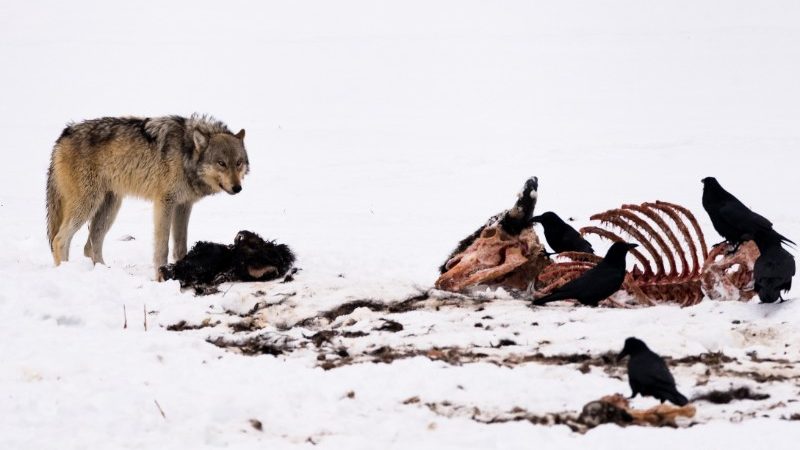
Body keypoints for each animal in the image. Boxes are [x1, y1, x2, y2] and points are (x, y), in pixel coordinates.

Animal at [46, 114, 249, 279]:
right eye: (221, 163)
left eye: (238, 163)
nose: (237, 188)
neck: (185, 153)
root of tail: (64, 133)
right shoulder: (164, 203)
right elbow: (162, 247)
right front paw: (161, 277)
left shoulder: (184, 205)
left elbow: (180, 246)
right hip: (87, 205)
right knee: (59, 240)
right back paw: (65, 272)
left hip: (109, 208)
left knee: (90, 245)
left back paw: (102, 272)